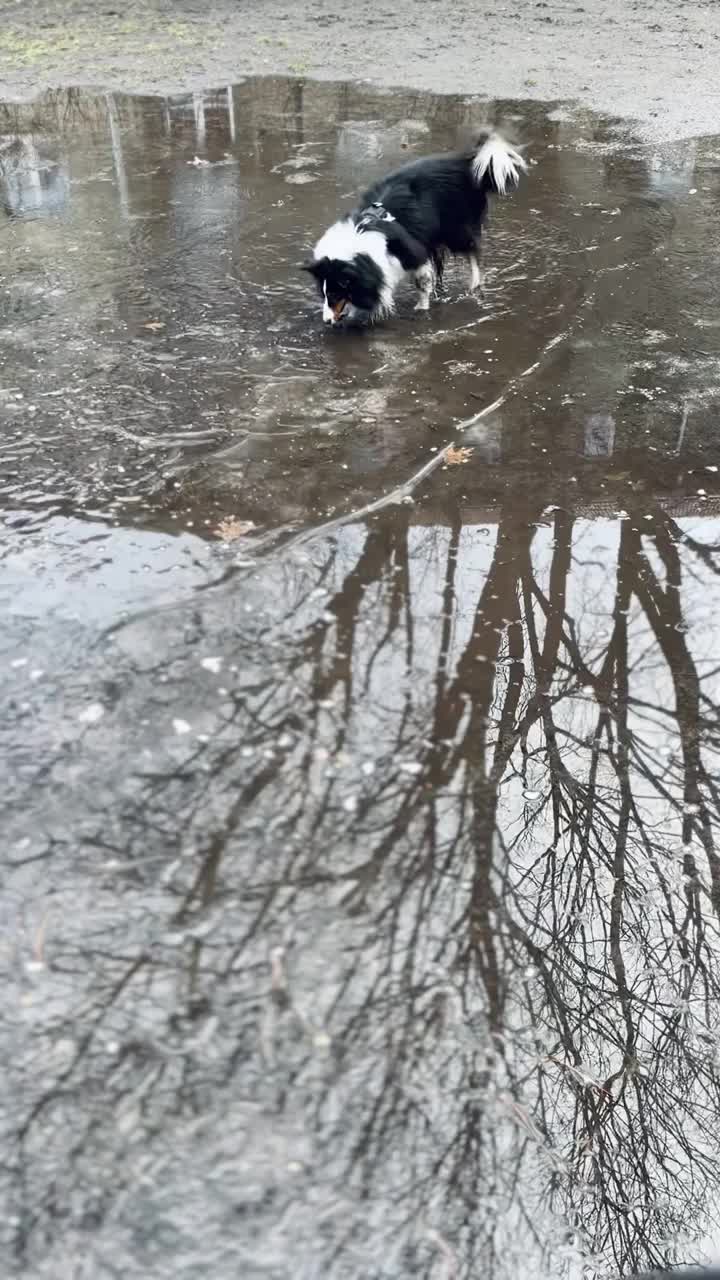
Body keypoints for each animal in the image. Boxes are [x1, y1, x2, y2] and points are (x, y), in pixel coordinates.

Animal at [299, 130, 525, 327]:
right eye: (323, 294)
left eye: (335, 293)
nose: (326, 322)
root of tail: (467, 163)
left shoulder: (414, 255)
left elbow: (422, 283)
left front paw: (421, 308)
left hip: (456, 229)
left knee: (473, 252)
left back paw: (474, 287)